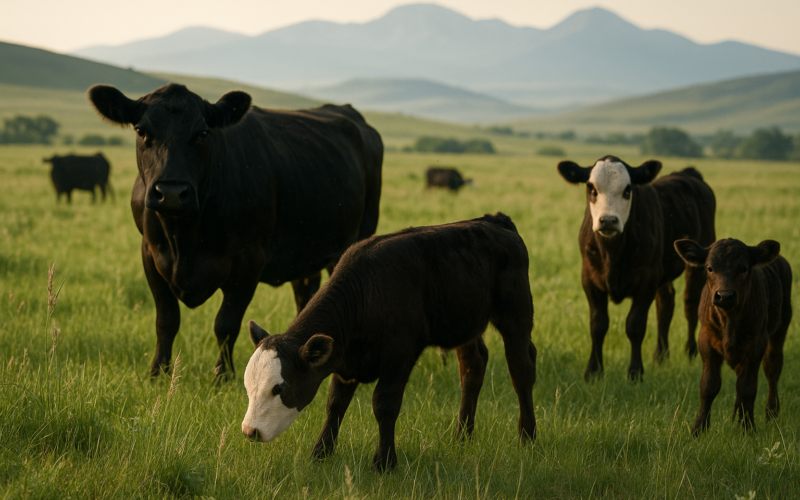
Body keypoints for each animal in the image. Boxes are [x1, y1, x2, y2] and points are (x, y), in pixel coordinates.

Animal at [87, 83, 383, 380]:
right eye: (142, 131)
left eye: (203, 133)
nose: (171, 193)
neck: (184, 237)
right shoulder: (150, 253)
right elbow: (167, 320)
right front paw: (157, 373)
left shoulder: (249, 258)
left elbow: (226, 324)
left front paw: (222, 375)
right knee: (305, 297)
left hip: (355, 238)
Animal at [241, 213, 537, 471]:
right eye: (247, 386)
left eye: (279, 388)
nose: (249, 431)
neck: (365, 295)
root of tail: (495, 220)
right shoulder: (346, 364)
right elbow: (335, 404)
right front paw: (320, 453)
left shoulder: (399, 355)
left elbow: (384, 404)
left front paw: (384, 462)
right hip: (465, 324)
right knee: (472, 368)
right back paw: (462, 436)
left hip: (516, 314)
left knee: (521, 369)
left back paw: (527, 437)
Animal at [557, 155, 716, 381]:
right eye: (592, 188)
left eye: (627, 190)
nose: (608, 220)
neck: (612, 252)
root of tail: (688, 173)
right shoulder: (590, 280)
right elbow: (598, 325)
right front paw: (593, 372)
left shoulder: (646, 282)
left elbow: (635, 326)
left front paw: (635, 373)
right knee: (666, 304)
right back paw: (661, 356)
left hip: (698, 261)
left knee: (690, 304)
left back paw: (691, 352)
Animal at [675, 238, 792, 435]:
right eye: (709, 268)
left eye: (743, 268)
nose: (725, 295)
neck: (729, 320)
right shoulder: (705, 340)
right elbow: (709, 386)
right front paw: (698, 429)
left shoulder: (756, 345)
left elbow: (747, 388)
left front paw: (748, 428)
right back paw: (736, 417)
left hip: (780, 329)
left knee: (772, 370)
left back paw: (771, 414)